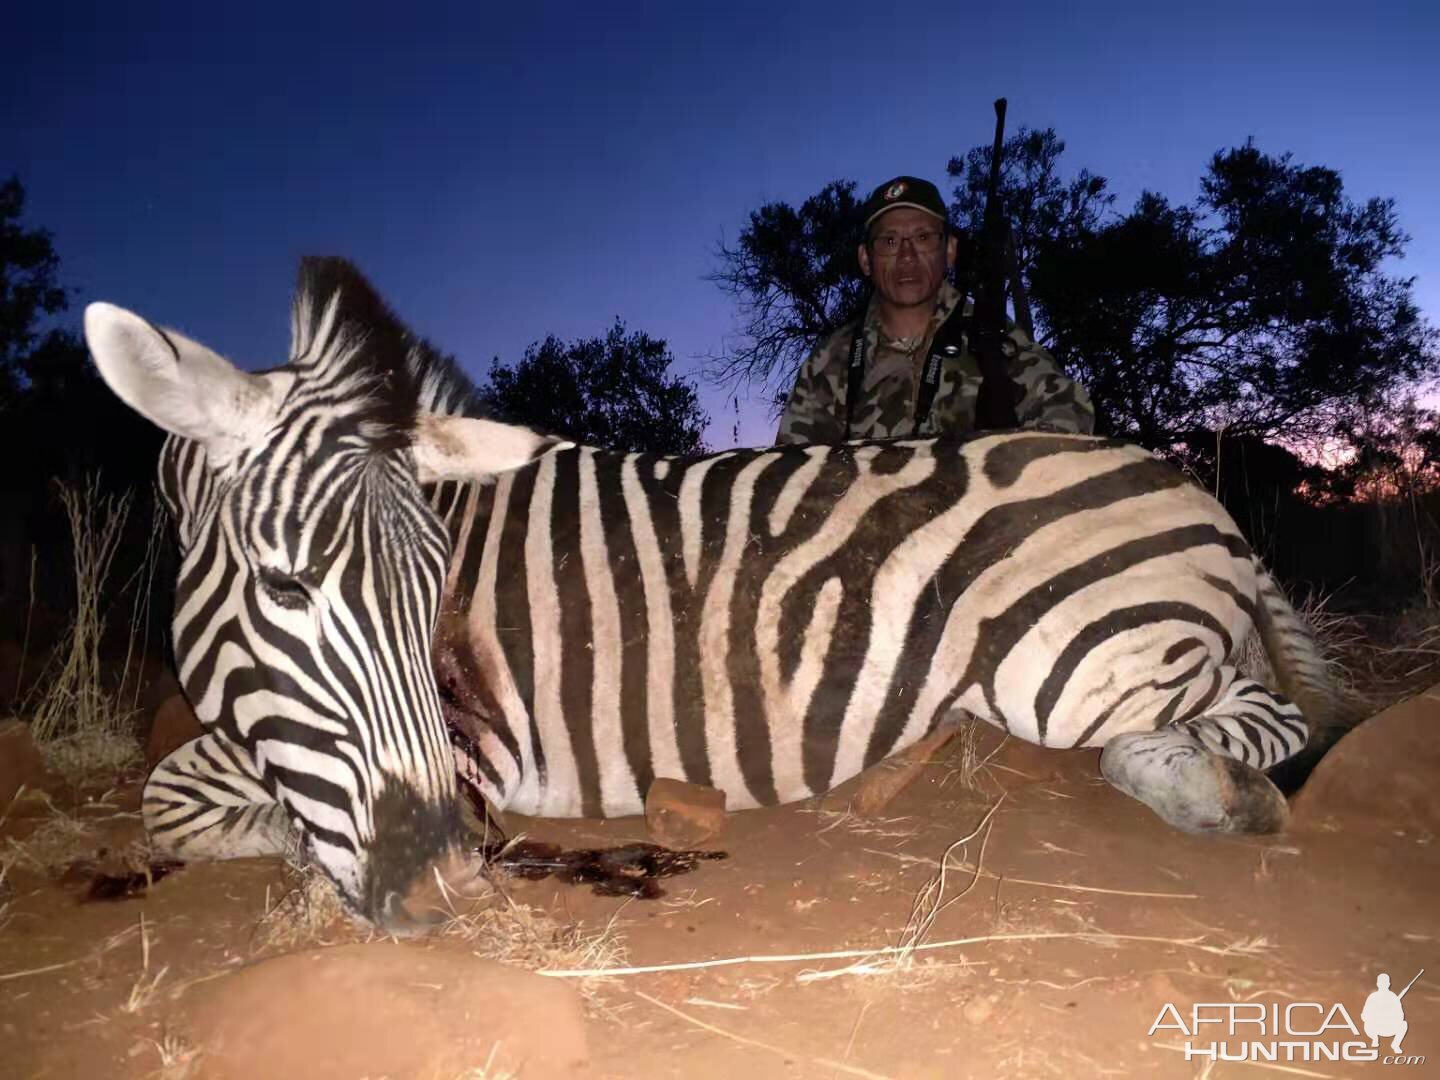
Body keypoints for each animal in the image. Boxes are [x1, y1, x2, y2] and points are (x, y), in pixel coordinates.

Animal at [84, 260, 1347, 933]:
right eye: (287, 585)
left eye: (435, 590)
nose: (441, 878)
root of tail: (1191, 489)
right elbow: (182, 792)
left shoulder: (475, 743)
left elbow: (180, 798)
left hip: (1078, 666)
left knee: (1257, 722)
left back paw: (1215, 792)